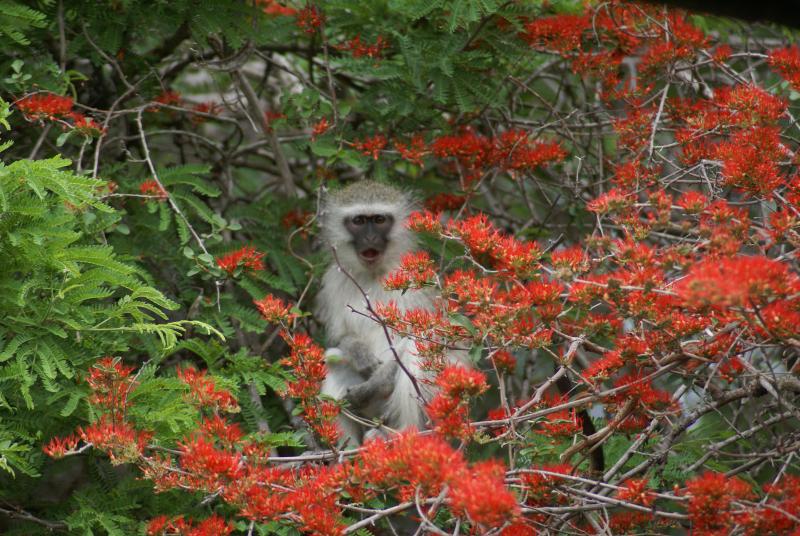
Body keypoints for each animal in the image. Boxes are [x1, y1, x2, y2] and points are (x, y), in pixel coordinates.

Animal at [315, 181, 438, 445]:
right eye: (359, 221)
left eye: (380, 220)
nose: (370, 237)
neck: (374, 274)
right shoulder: (333, 279)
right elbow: (342, 337)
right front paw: (359, 352)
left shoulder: (416, 278)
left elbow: (428, 339)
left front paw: (373, 386)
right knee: (333, 361)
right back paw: (349, 449)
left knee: (415, 351)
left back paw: (404, 435)